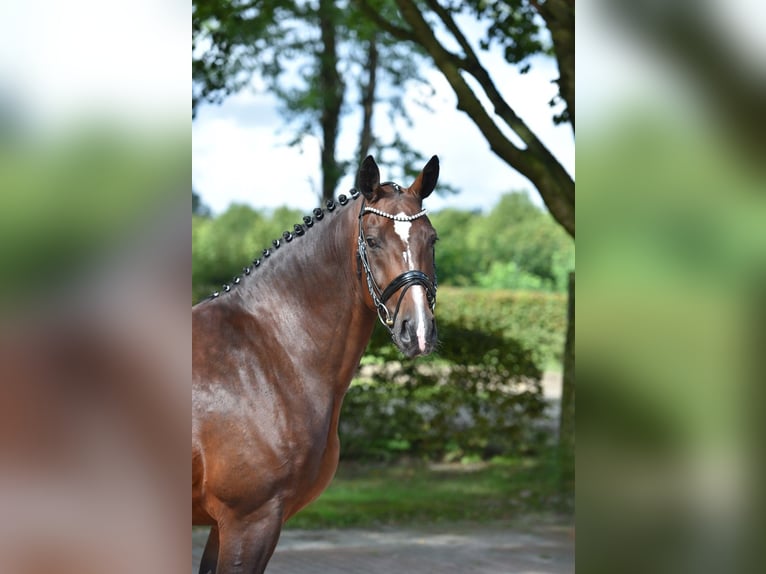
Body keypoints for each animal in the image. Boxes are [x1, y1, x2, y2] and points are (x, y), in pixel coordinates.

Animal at [192, 155, 440, 572]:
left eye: (432, 239)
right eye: (372, 241)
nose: (418, 331)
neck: (268, 352)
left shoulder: (221, 525)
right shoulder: (248, 520)